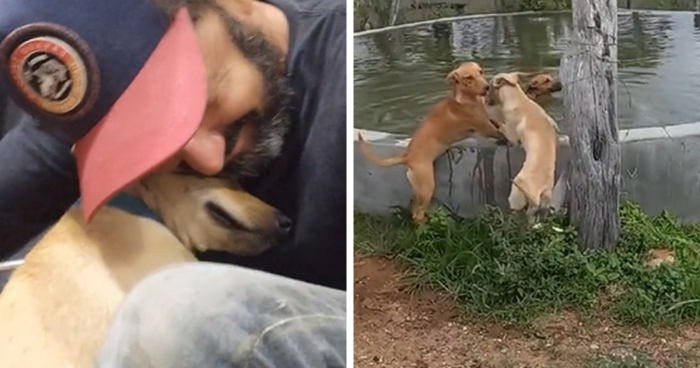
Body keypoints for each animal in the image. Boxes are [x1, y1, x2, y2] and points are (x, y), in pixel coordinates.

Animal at [360, 61, 564, 224]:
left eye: (480, 72)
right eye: (468, 78)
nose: (486, 87)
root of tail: (406, 156)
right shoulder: (489, 127)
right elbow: (501, 128)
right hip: (426, 186)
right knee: (416, 213)